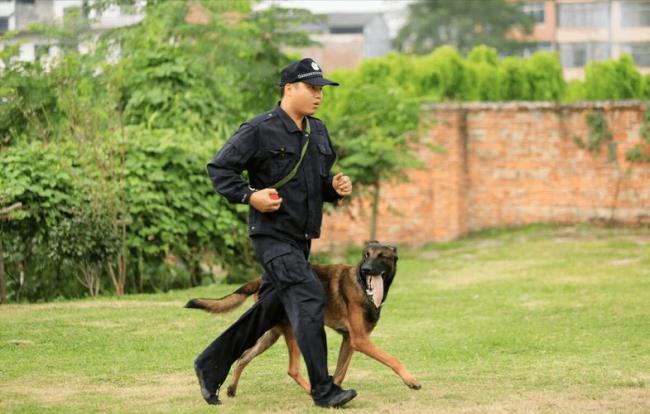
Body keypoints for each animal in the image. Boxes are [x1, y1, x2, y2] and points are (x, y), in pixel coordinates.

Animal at [186, 241, 420, 396]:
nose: (366, 269)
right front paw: (410, 380)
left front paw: (335, 390)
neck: (363, 286)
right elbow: (393, 359)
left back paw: (232, 388)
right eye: (366, 255)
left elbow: (340, 372)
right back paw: (311, 391)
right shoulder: (360, 340)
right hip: (293, 331)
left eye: (381, 256)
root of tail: (263, 278)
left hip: (269, 335)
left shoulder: (350, 341)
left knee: (243, 357)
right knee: (292, 369)